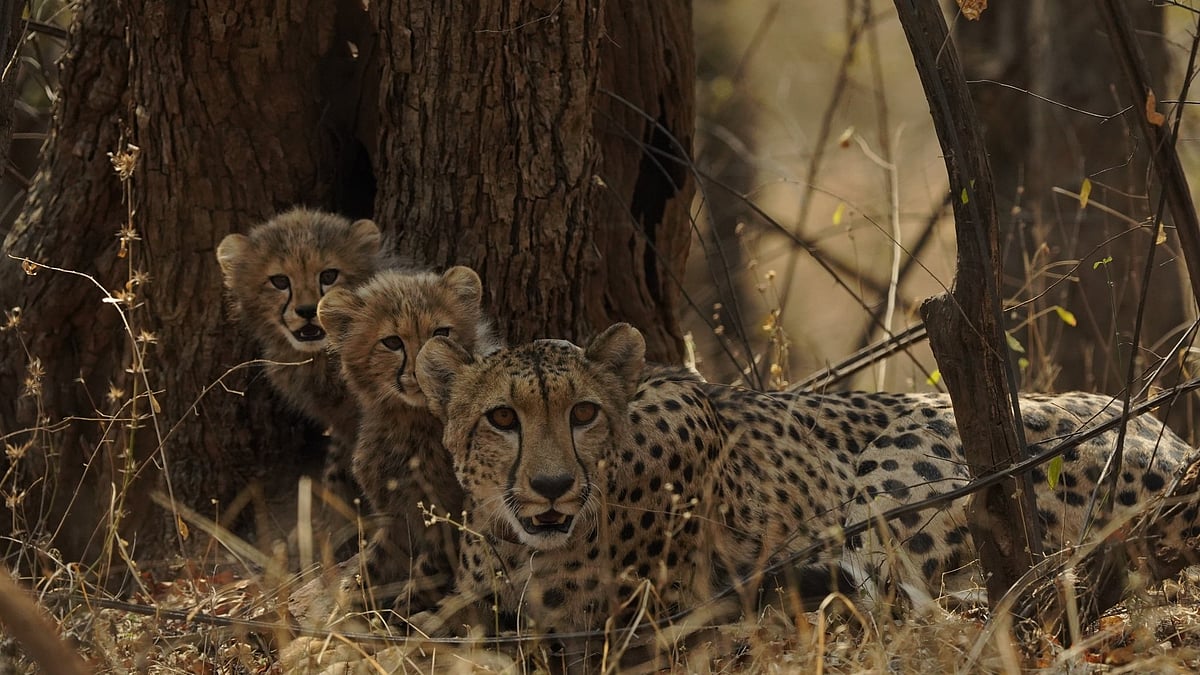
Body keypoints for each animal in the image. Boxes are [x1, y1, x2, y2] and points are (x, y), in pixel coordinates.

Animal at [215, 207, 387, 546]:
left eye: (329, 276)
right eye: (280, 281)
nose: (308, 310)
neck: (320, 359)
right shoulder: (340, 420)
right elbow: (335, 467)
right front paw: (329, 525)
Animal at [317, 265, 502, 612]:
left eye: (441, 332)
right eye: (392, 342)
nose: (421, 371)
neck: (409, 423)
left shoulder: (446, 522)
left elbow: (419, 585)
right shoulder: (396, 519)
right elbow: (365, 574)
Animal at [412, 322, 1200, 641]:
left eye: (582, 412)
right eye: (501, 417)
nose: (550, 486)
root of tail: (1172, 438)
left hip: (907, 459)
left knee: (901, 607)